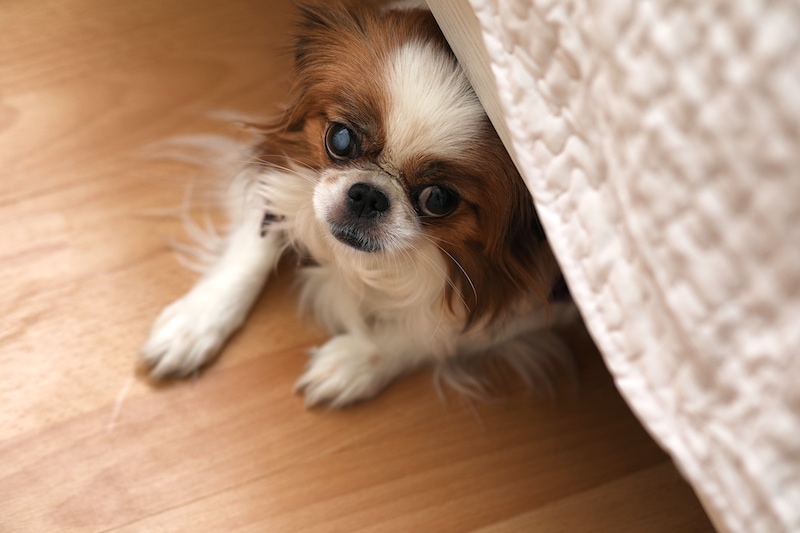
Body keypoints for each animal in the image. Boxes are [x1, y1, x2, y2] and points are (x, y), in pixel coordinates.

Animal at [139, 2, 576, 406]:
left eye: (439, 199)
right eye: (340, 139)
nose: (369, 195)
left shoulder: (545, 299)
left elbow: (433, 334)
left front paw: (352, 362)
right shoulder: (277, 170)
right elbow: (252, 250)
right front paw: (196, 322)